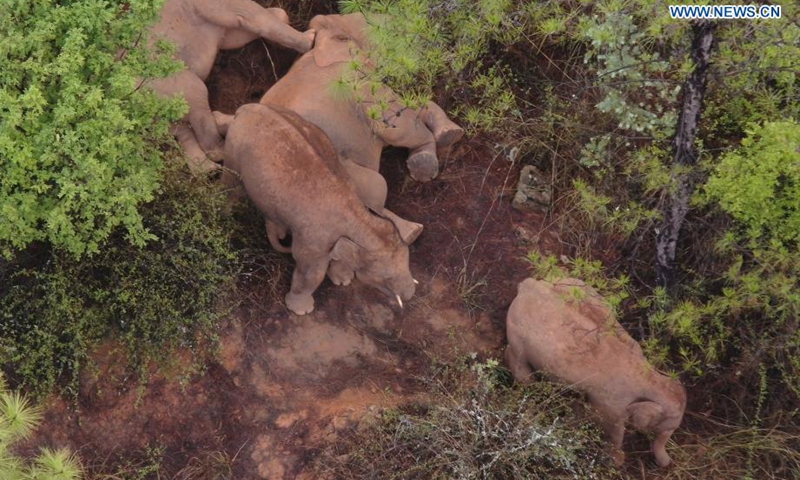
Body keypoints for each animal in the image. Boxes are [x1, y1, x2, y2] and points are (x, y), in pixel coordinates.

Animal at [146, 0, 315, 173]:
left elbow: (234, 36)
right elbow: (247, 14)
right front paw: (311, 38)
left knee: (178, 127)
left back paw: (207, 169)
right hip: (171, 80)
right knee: (197, 95)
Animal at [223, 103, 417, 315]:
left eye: (408, 263)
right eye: (386, 278)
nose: (411, 294)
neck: (359, 216)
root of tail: (246, 108)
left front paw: (343, 280)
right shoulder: (313, 240)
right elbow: (312, 272)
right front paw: (302, 310)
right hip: (233, 149)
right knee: (230, 185)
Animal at [505, 277, 686, 468]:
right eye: (665, 427)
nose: (668, 463)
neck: (650, 375)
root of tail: (528, 284)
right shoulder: (610, 403)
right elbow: (609, 426)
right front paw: (616, 461)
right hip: (517, 335)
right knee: (521, 369)